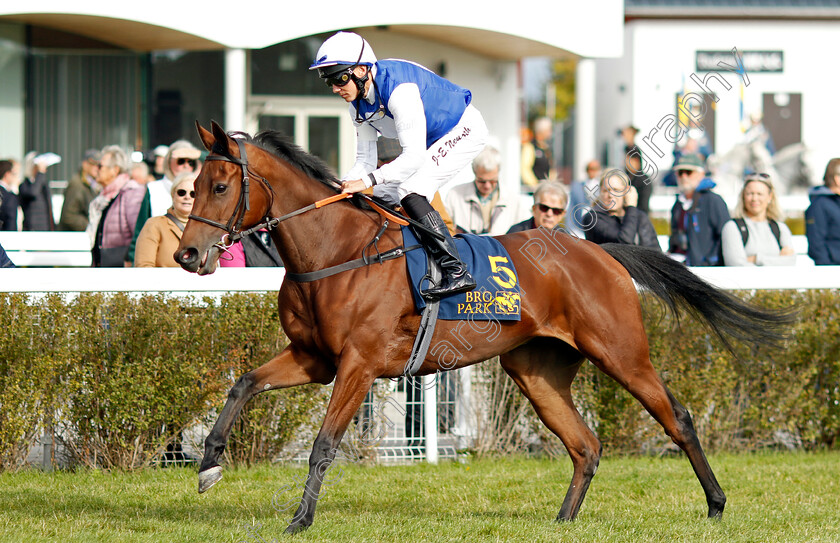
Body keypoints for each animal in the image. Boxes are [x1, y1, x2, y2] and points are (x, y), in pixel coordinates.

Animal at [174, 121, 792, 532]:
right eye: (193, 185)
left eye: (222, 187)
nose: (187, 254)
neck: (337, 251)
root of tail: (603, 251)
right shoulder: (314, 359)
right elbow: (243, 383)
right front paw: (208, 465)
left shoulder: (359, 363)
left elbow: (325, 442)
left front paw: (299, 519)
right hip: (536, 370)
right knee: (585, 444)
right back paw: (563, 520)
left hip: (623, 353)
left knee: (677, 418)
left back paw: (715, 504)